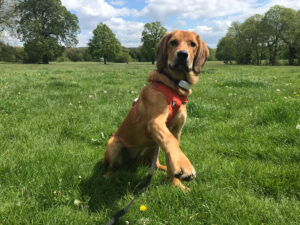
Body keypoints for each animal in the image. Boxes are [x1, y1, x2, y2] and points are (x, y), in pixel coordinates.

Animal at [103, 29, 209, 191]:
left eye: (193, 44)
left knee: (155, 163)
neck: (174, 86)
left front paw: (176, 183)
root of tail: (132, 163)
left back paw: (165, 169)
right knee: (113, 166)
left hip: (153, 148)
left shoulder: (177, 130)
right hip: (113, 144)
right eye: (173, 42)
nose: (182, 54)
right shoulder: (156, 121)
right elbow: (170, 141)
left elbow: (173, 150)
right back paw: (107, 176)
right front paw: (184, 165)